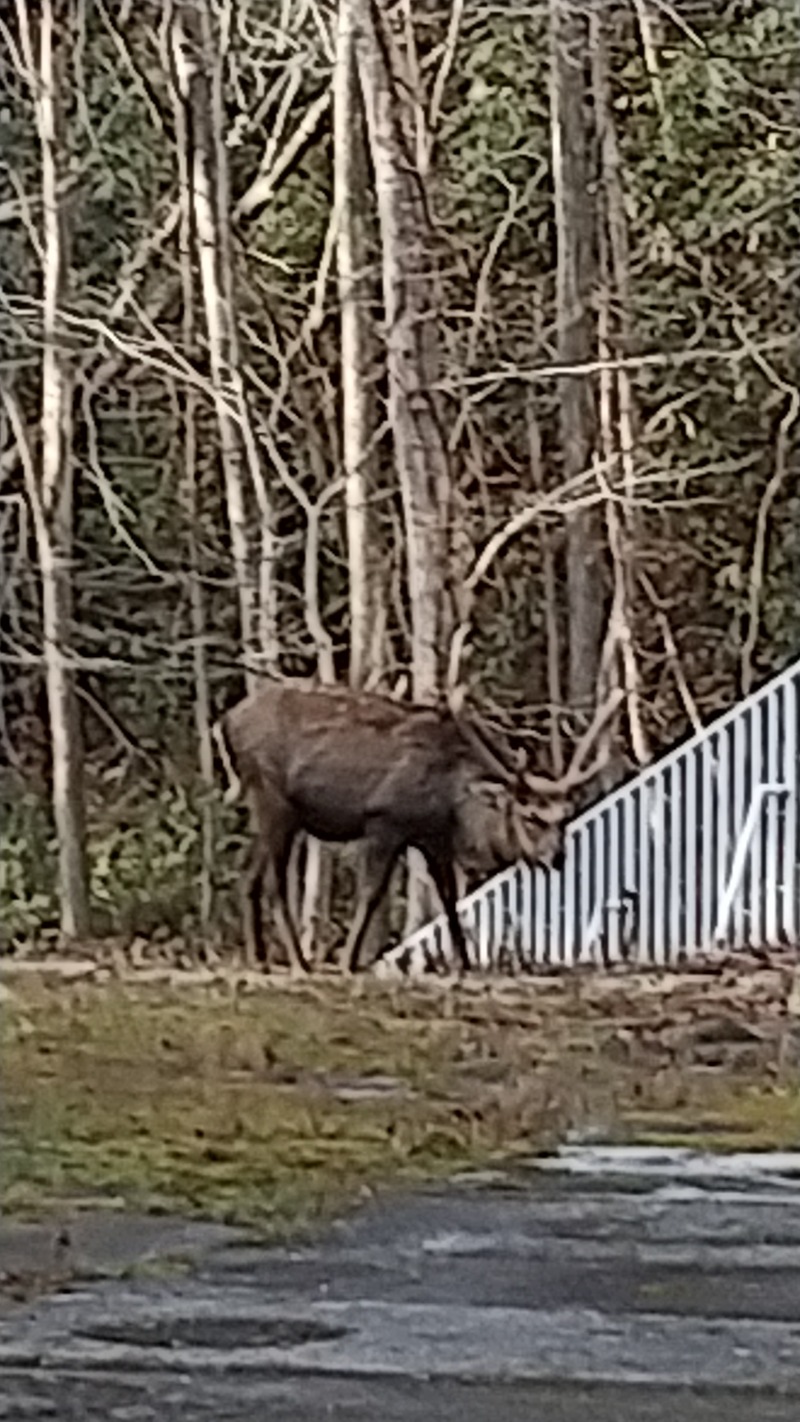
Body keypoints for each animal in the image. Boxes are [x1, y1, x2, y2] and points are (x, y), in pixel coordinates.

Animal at [214, 679, 619, 972]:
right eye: (529, 816)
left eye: (564, 817)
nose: (557, 857)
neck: (452, 800)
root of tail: (226, 723)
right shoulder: (385, 820)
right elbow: (372, 892)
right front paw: (348, 961)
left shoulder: (432, 836)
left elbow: (449, 897)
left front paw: (464, 963)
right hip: (273, 798)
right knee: (275, 882)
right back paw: (299, 962)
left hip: (271, 809)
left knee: (248, 874)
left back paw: (260, 959)